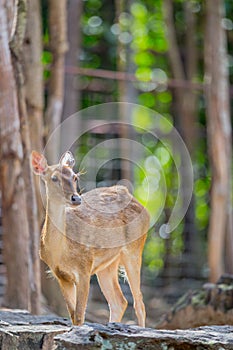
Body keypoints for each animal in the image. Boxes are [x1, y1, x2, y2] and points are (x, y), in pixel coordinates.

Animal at [31, 151, 150, 328]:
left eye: (74, 177)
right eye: (54, 178)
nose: (76, 198)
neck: (61, 251)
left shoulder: (84, 268)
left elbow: (80, 315)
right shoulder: (60, 275)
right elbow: (73, 315)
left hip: (134, 250)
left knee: (139, 302)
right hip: (107, 265)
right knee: (119, 301)